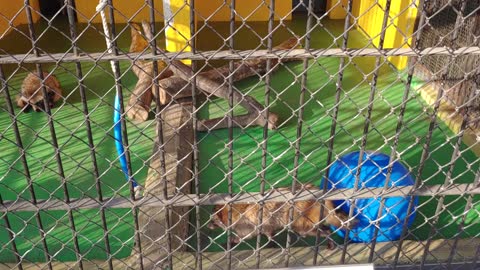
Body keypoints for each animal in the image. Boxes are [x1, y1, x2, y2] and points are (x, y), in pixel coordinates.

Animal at [208, 184, 358, 249]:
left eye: (213, 220)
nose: (208, 225)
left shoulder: (251, 223)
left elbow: (249, 235)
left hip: (302, 223)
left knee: (322, 231)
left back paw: (329, 238)